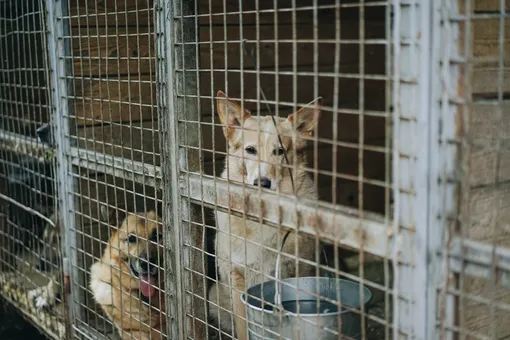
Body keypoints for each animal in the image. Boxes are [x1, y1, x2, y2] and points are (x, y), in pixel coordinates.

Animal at [207, 91, 322, 340]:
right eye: (250, 150)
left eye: (280, 151)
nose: (263, 182)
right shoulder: (237, 277)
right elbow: (242, 328)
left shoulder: (298, 272)